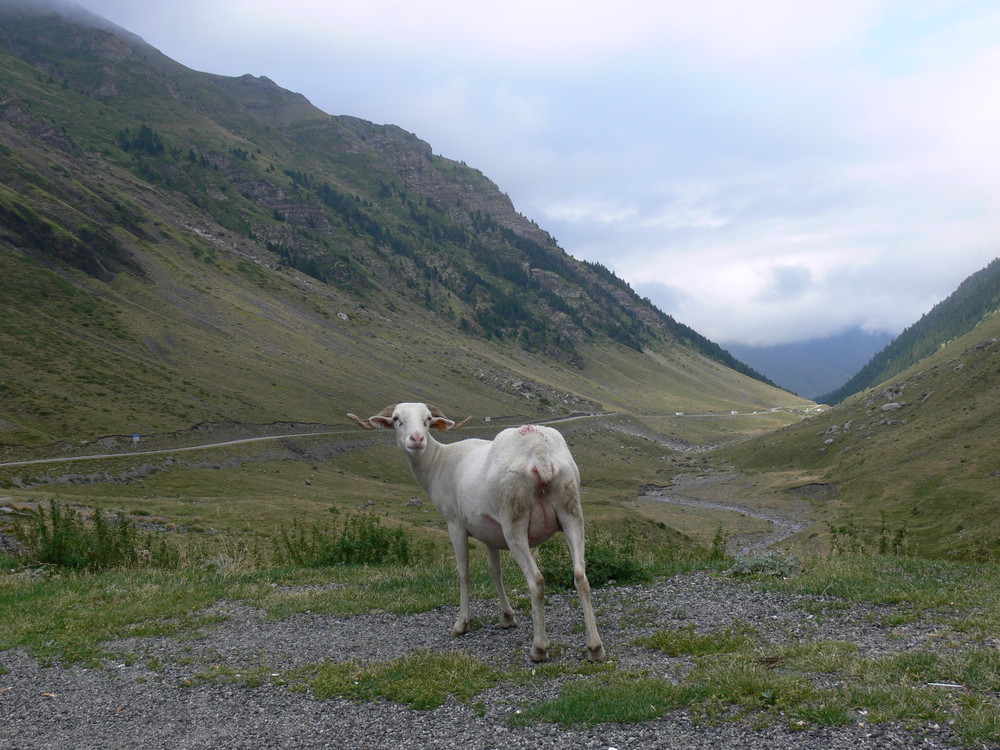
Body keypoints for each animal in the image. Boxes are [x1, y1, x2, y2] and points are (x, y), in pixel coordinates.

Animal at [348, 402, 604, 660]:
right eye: (396, 419)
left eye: (427, 419)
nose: (417, 439)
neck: (438, 462)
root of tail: (539, 453)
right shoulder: (490, 532)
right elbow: (495, 571)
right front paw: (507, 617)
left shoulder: (455, 524)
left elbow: (464, 573)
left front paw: (462, 623)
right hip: (571, 512)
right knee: (580, 576)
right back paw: (594, 647)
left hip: (514, 521)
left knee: (537, 580)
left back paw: (539, 648)